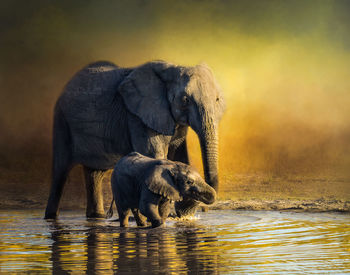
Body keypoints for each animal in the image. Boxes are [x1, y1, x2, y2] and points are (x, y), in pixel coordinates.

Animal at [44, 61, 224, 220]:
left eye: (217, 100)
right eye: (186, 100)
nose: (183, 212)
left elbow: (180, 157)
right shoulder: (138, 118)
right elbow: (155, 156)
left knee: (95, 173)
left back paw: (97, 217)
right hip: (61, 121)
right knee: (60, 172)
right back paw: (51, 217)